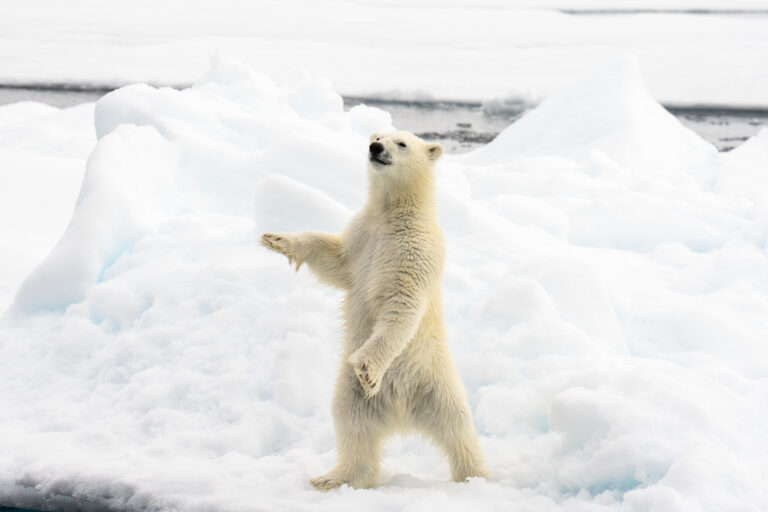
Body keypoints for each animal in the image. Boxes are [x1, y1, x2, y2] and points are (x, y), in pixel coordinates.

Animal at [262, 131, 486, 488]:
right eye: (379, 135)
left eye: (402, 143)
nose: (375, 147)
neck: (393, 214)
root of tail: (402, 411)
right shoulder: (362, 236)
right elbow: (335, 260)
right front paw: (277, 238)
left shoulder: (416, 250)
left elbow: (402, 305)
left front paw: (367, 368)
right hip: (351, 392)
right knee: (350, 422)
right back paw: (334, 478)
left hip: (434, 380)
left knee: (458, 428)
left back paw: (476, 476)